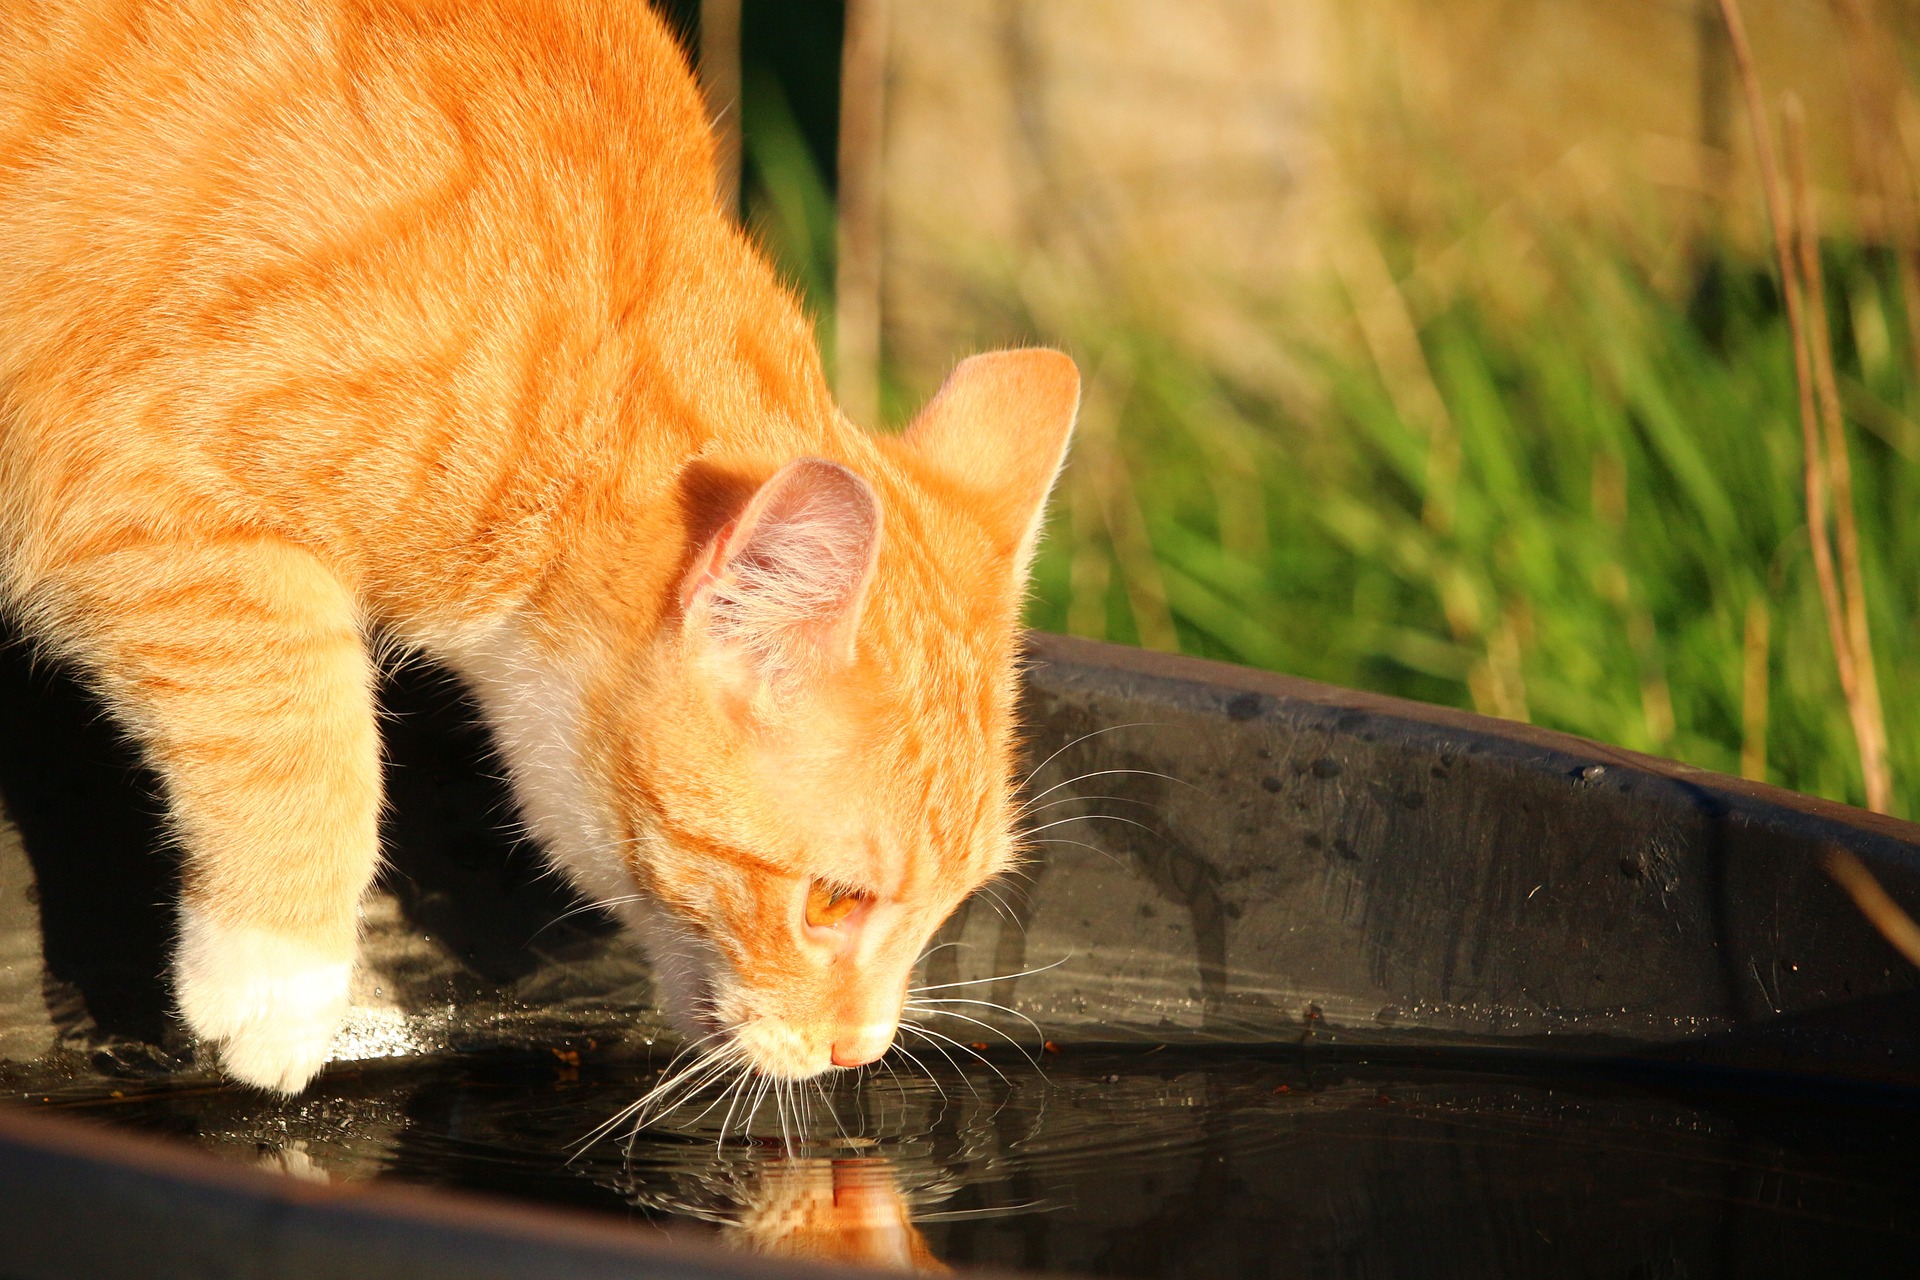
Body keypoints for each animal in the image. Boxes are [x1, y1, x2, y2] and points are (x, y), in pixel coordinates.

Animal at [0, 5, 1082, 1097]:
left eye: (952, 903)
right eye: (831, 901)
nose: (862, 1048)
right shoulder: (132, 482)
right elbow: (296, 713)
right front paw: (283, 980)